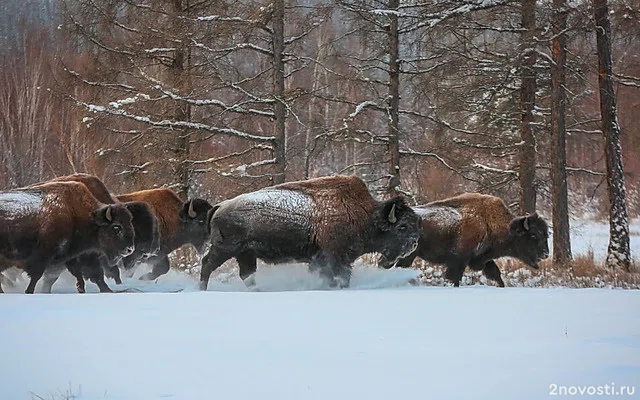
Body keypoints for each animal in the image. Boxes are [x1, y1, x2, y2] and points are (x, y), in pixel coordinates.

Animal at [0, 181, 135, 294]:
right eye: (116, 227)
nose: (130, 249)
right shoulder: (45, 254)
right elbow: (36, 275)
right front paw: (29, 291)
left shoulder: (68, 256)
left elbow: (80, 274)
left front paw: (85, 289)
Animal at [198, 175, 422, 290]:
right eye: (402, 227)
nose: (414, 243)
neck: (366, 215)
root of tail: (219, 206)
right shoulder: (335, 258)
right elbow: (338, 278)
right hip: (225, 249)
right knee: (208, 264)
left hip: (245, 253)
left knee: (247, 274)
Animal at [380, 193, 552, 288]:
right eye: (533, 235)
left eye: (546, 235)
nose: (545, 254)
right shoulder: (458, 260)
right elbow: (454, 278)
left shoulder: (483, 259)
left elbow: (496, 275)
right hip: (407, 256)